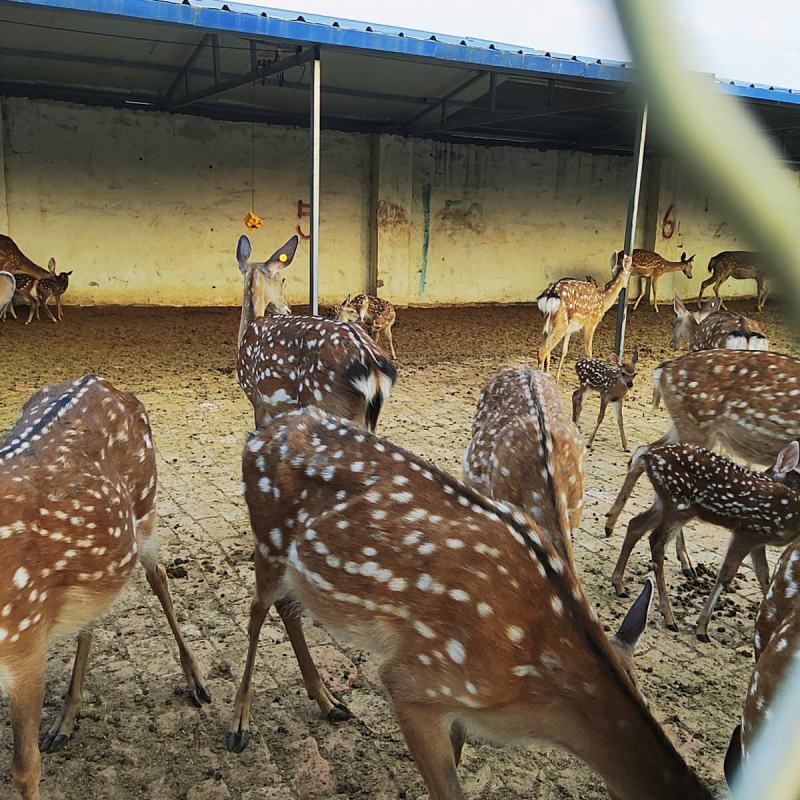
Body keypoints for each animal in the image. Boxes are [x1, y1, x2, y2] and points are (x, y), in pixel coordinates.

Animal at [0, 374, 210, 800]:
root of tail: (102, 381)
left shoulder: (25, 643)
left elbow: (25, 769)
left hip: (147, 504)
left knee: (159, 575)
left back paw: (196, 681)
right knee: (93, 614)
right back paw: (65, 719)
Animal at [227, 405, 711, 800]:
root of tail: (257, 434)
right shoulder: (415, 680)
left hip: (294, 568)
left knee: (288, 607)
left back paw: (329, 702)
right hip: (267, 539)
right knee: (255, 613)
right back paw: (238, 726)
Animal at [236, 234, 396, 432]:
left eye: (282, 280)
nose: (288, 308)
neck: (249, 325)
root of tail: (375, 370)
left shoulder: (257, 398)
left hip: (326, 400)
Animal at [536, 251, 632, 382]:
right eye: (630, 273)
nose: (627, 286)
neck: (603, 301)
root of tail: (550, 295)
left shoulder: (570, 330)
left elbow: (564, 351)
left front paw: (557, 377)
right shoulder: (591, 322)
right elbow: (589, 351)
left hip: (550, 323)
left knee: (547, 349)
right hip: (561, 323)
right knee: (543, 350)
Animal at [611, 441, 800, 643]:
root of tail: (649, 455)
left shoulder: (760, 539)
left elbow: (764, 576)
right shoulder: (748, 531)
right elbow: (726, 575)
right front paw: (702, 628)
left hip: (665, 502)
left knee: (635, 525)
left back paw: (619, 585)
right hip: (679, 503)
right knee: (656, 542)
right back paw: (669, 616)